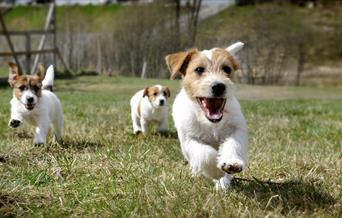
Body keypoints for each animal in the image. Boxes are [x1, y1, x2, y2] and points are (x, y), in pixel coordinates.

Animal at [165, 41, 247, 190]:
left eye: (227, 69)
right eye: (199, 70)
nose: (218, 86)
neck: (210, 123)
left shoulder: (236, 129)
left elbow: (233, 144)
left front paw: (230, 163)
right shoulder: (189, 139)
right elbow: (204, 154)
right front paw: (216, 171)